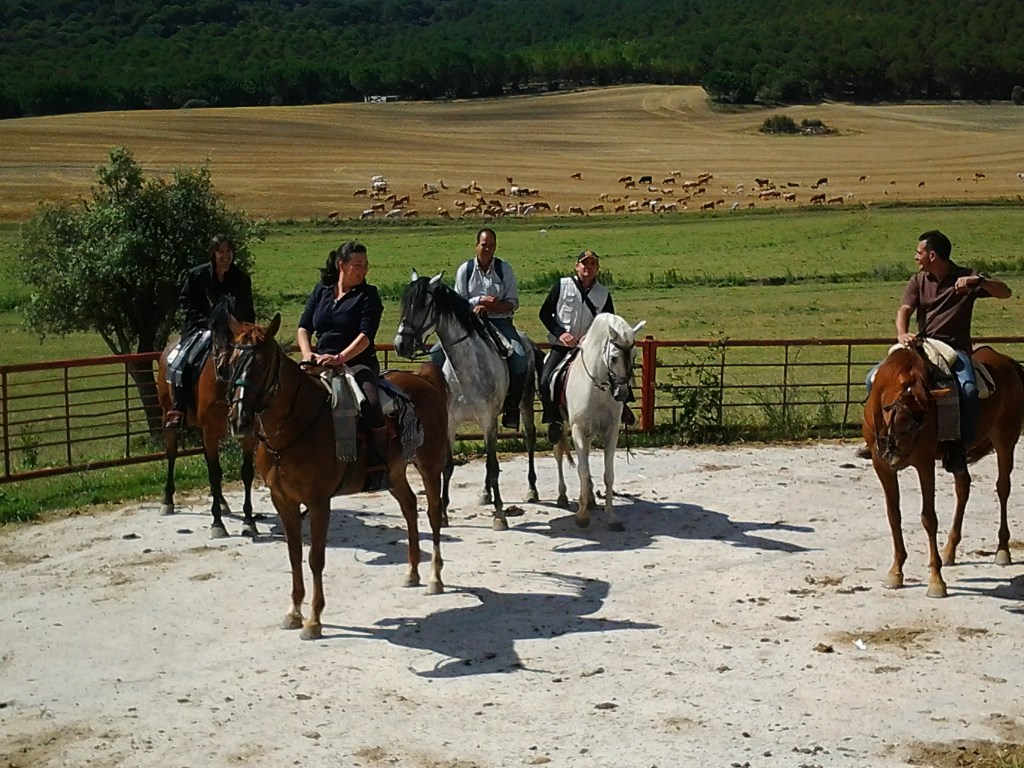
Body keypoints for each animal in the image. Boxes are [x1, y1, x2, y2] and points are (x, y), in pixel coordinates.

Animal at [156, 316, 258, 539]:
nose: (225, 367)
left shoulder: (248, 434)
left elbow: (246, 472)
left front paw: (248, 521)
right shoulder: (210, 431)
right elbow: (215, 474)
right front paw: (217, 523)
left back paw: (222, 500)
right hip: (168, 417)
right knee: (172, 454)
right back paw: (167, 501)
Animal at [217, 311, 450, 641]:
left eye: (261, 364)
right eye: (232, 362)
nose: (239, 419)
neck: (297, 426)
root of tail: (424, 380)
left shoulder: (318, 501)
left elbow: (315, 557)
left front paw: (313, 620)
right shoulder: (282, 501)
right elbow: (294, 554)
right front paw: (293, 612)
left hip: (429, 465)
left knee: (432, 513)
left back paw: (434, 579)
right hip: (393, 473)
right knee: (409, 507)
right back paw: (412, 572)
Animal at [393, 271, 539, 531]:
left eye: (423, 305)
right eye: (404, 303)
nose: (400, 345)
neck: (467, 370)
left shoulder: (489, 421)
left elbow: (493, 467)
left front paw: (499, 515)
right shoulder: (451, 423)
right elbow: (448, 467)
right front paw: (443, 513)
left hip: (525, 403)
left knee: (529, 438)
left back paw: (531, 489)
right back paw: (485, 493)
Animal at [553, 313, 645, 531]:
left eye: (635, 355)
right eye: (613, 358)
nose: (622, 394)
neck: (598, 388)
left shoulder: (611, 431)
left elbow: (608, 474)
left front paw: (611, 517)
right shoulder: (577, 429)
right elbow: (582, 469)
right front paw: (582, 516)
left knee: (585, 455)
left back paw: (589, 498)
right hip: (561, 426)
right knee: (560, 453)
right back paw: (563, 496)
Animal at [863, 339, 1024, 597]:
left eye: (919, 423)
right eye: (894, 414)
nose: (896, 458)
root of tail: (1007, 361)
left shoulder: (924, 463)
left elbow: (929, 518)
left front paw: (936, 581)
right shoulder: (882, 467)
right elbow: (893, 515)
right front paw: (896, 571)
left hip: (1005, 440)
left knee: (1003, 488)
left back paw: (1002, 549)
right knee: (963, 488)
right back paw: (949, 550)